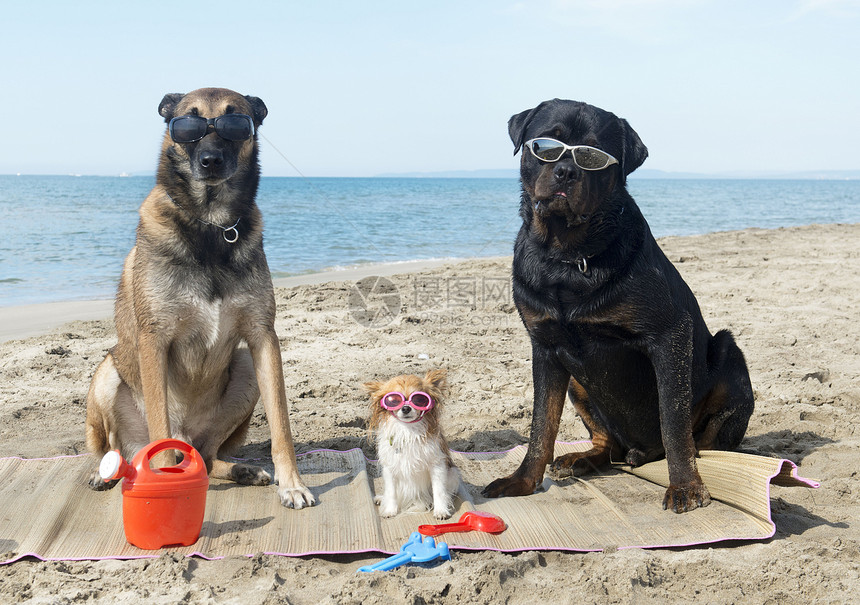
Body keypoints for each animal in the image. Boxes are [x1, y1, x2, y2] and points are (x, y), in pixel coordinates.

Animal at [85, 87, 314, 508]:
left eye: (236, 124)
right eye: (188, 125)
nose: (210, 161)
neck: (211, 224)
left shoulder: (263, 339)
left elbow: (281, 425)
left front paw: (292, 483)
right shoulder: (154, 341)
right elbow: (159, 427)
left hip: (245, 370)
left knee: (206, 457)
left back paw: (241, 470)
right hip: (108, 374)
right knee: (116, 451)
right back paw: (105, 473)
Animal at [484, 98, 752, 510]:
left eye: (592, 155)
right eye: (545, 146)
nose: (565, 171)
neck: (568, 257)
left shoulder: (670, 335)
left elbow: (673, 421)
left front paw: (685, 485)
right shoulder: (545, 346)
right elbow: (541, 425)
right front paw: (522, 481)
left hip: (727, 353)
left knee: (706, 441)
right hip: (579, 384)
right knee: (606, 443)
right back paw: (581, 459)